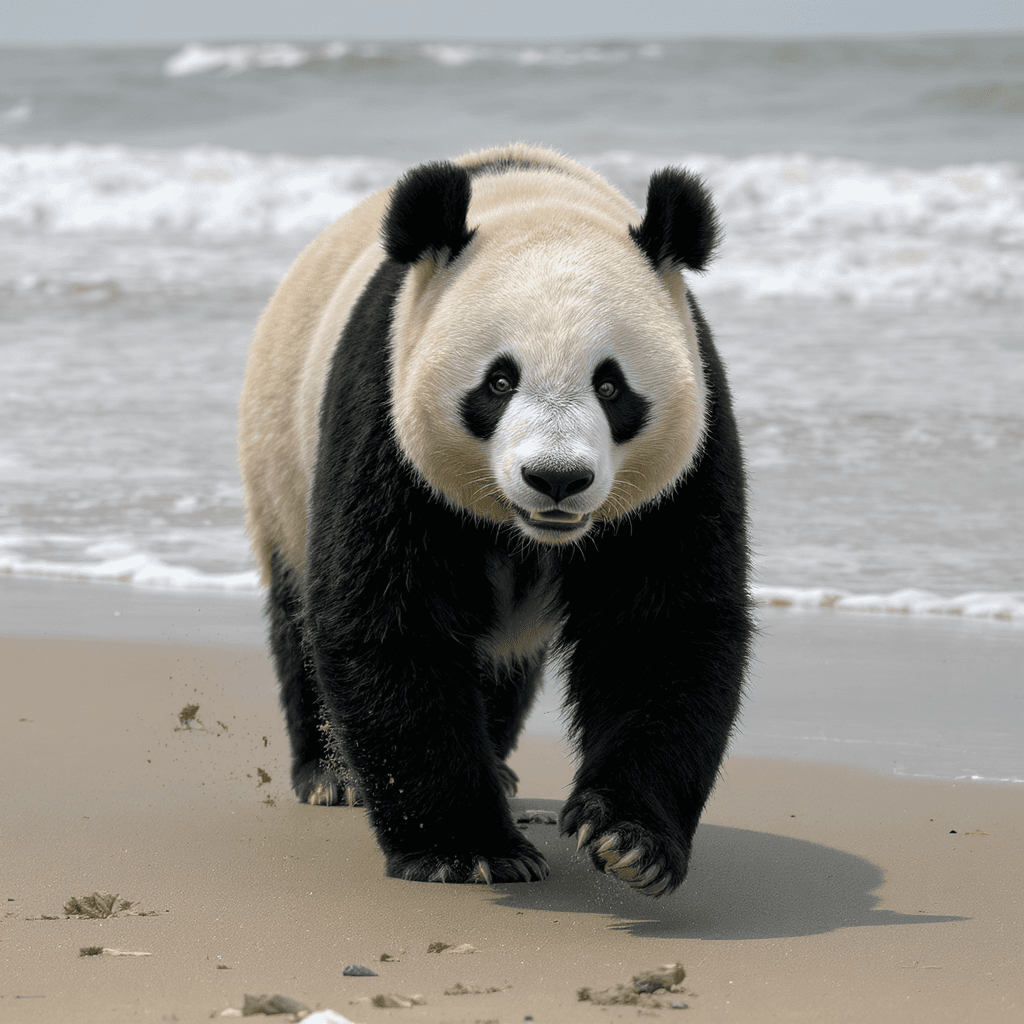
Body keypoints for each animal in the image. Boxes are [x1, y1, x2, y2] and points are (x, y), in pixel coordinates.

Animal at [238, 144, 751, 897]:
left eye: (611, 385)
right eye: (499, 382)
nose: (557, 479)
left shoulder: (687, 447)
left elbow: (661, 626)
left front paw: (629, 839)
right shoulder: (386, 409)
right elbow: (392, 614)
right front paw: (465, 850)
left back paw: (499, 767)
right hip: (279, 461)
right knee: (298, 610)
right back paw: (332, 774)